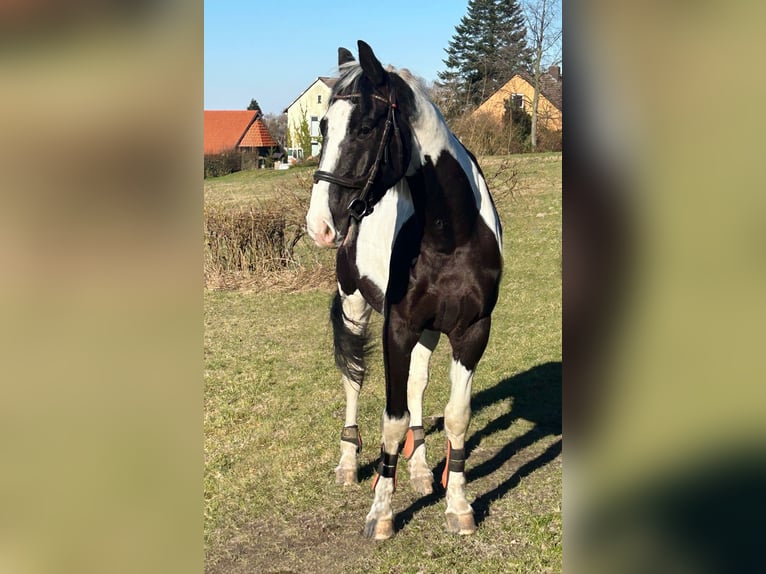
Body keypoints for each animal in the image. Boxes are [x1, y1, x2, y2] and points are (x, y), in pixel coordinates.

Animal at [306, 40, 503, 539]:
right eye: (323, 126)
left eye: (366, 127)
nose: (319, 226)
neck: (451, 234)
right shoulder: (396, 327)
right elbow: (391, 421)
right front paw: (381, 513)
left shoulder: (472, 330)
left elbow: (455, 416)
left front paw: (458, 505)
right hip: (355, 304)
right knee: (354, 378)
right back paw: (349, 463)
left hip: (430, 328)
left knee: (416, 382)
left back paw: (418, 469)